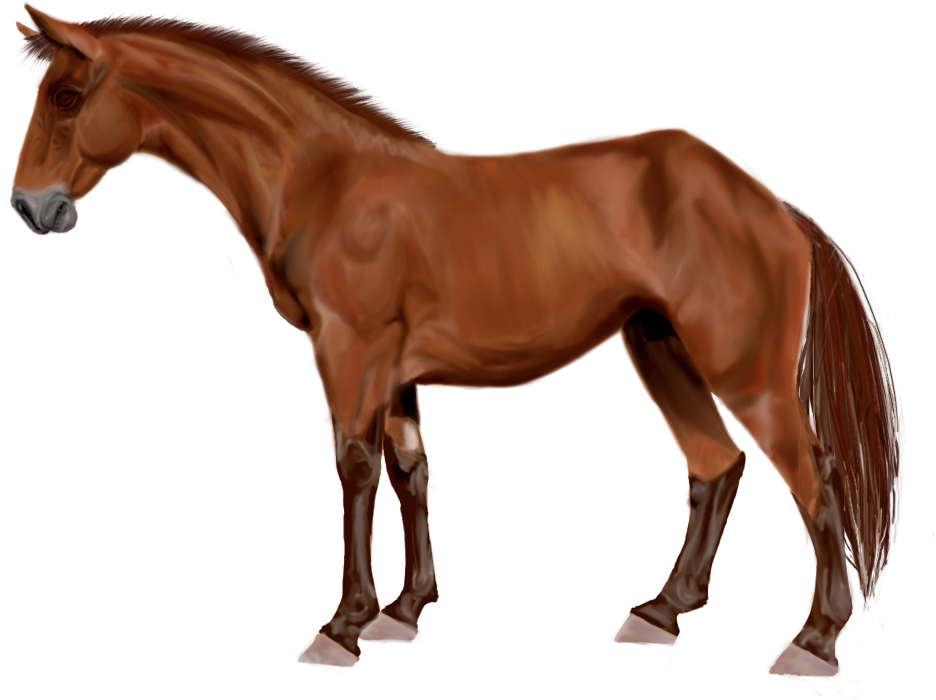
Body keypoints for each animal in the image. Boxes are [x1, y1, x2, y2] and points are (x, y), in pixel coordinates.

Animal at [9, 4, 905, 683]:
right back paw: (659, 613)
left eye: (69, 95)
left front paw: (341, 626)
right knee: (717, 467)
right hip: (658, 350)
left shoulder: (350, 355)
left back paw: (813, 643)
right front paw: (403, 613)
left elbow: (356, 470)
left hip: (744, 372)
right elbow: (411, 472)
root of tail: (771, 202)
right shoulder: (394, 371)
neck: (323, 177)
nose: (29, 207)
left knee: (813, 479)